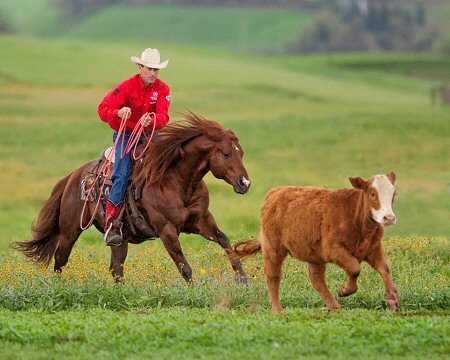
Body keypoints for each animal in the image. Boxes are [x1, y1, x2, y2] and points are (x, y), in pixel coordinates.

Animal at [15, 114, 251, 282]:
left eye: (241, 152)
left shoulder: (201, 221)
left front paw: (243, 280)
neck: (177, 181)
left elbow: (225, 241)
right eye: (226, 154)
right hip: (69, 230)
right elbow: (185, 267)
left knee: (116, 268)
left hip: (119, 239)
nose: (245, 183)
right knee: (60, 260)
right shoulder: (167, 230)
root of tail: (73, 177)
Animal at [234, 172, 400, 312]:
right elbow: (355, 268)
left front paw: (393, 300)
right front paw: (345, 291)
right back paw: (277, 310)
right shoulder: (333, 249)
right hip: (273, 248)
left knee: (316, 279)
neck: (356, 218)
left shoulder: (374, 249)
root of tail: (275, 192)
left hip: (314, 255)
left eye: (393, 195)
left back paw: (334, 307)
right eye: (372, 194)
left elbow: (385, 269)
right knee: (273, 276)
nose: (389, 218)